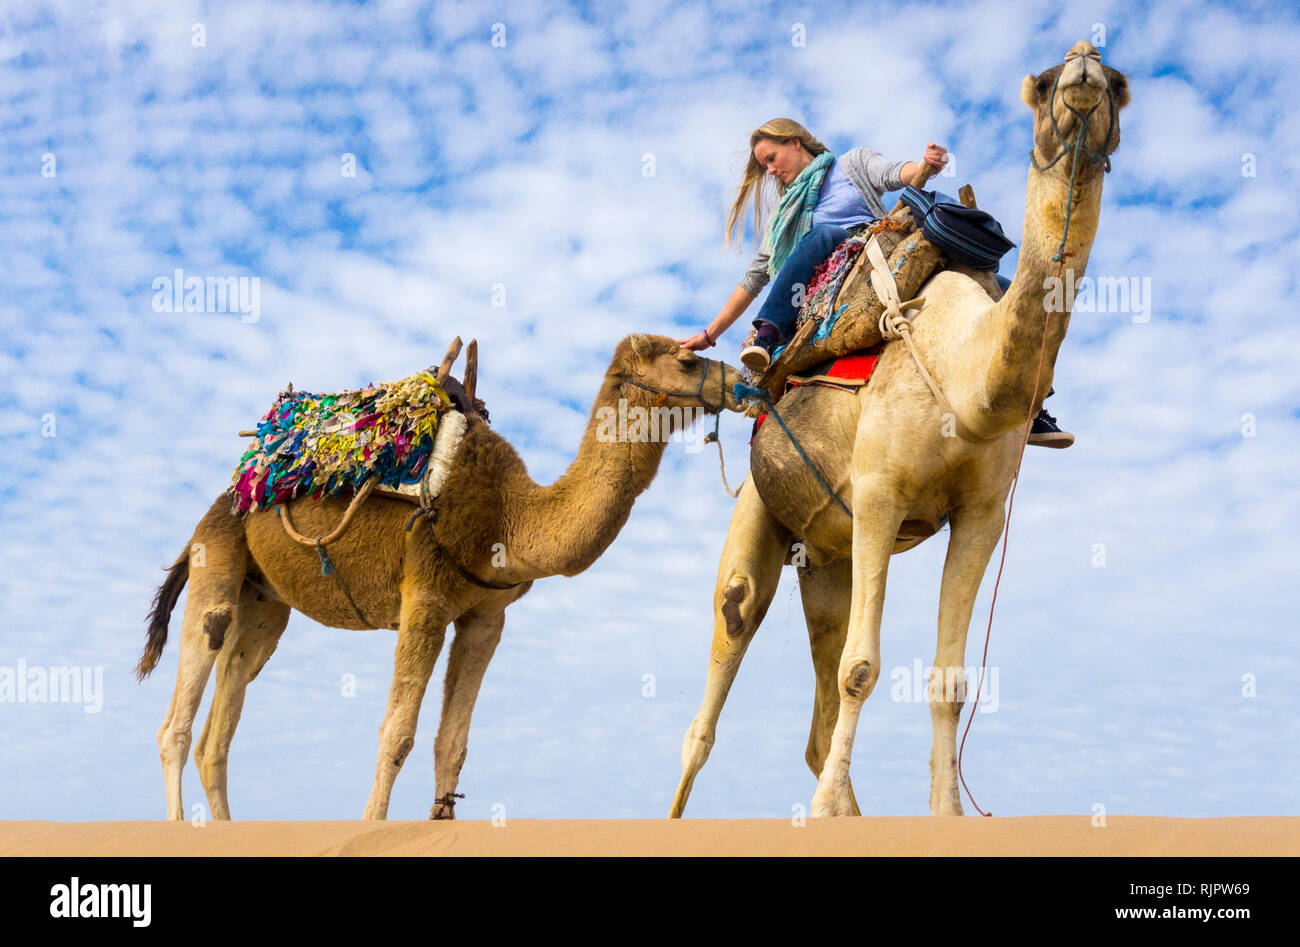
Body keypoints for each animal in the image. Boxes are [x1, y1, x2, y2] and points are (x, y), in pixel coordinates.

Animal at [139, 335, 743, 822]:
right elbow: (397, 734)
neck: (508, 517)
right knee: (180, 718)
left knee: (220, 729)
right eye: (688, 359)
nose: (743, 381)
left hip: (265, 602)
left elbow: (452, 743)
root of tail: (232, 495)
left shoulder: (486, 616)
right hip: (217, 556)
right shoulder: (425, 596)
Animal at [670, 40, 1128, 816]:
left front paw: (943, 815)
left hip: (825, 560)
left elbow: (948, 680)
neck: (966, 382)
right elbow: (861, 668)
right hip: (760, 514)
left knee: (817, 716)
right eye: (1041, 85)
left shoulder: (981, 514)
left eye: (1121, 86)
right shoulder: (880, 492)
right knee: (717, 675)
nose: (1084, 67)